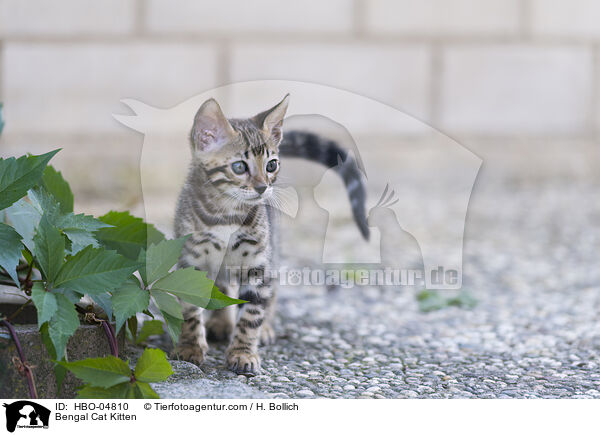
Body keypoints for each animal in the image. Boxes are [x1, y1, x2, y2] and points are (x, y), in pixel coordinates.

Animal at [173, 94, 368, 374]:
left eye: (271, 165)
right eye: (239, 167)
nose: (263, 187)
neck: (226, 215)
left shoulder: (258, 262)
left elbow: (251, 313)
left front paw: (243, 352)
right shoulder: (191, 259)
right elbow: (190, 311)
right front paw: (190, 347)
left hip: (271, 247)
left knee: (270, 292)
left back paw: (263, 328)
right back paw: (221, 321)